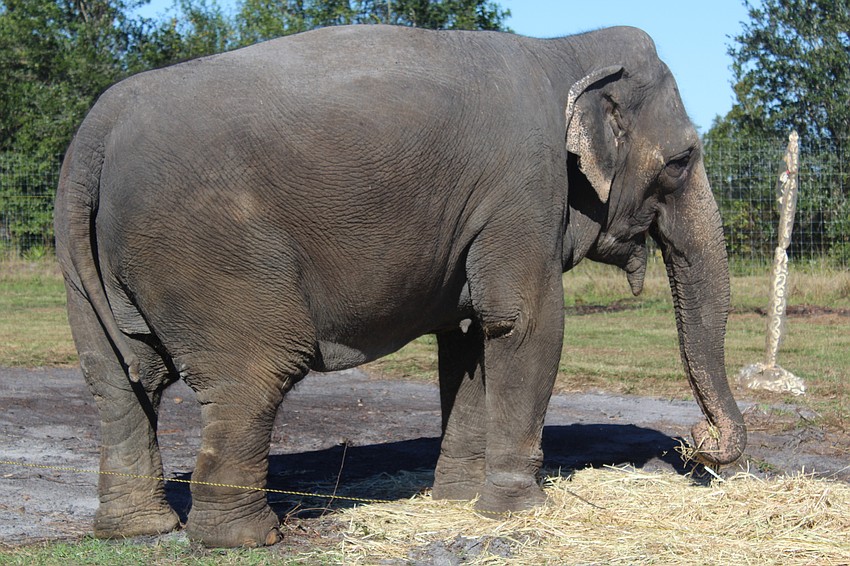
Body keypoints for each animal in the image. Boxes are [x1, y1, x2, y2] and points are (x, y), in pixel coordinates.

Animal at [54, 24, 746, 547]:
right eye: (682, 160)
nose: (695, 444)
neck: (565, 50)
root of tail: (96, 132)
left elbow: (468, 339)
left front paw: (456, 499)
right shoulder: (525, 187)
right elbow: (523, 323)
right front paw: (520, 512)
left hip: (81, 265)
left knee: (118, 381)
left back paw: (136, 529)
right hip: (209, 252)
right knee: (252, 375)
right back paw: (248, 538)